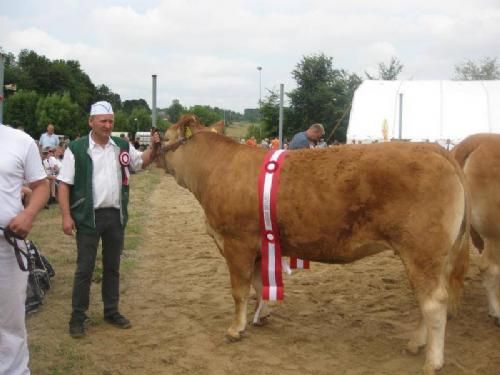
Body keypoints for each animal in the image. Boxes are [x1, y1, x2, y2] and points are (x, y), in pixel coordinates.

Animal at [157, 115, 468, 375]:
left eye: (166, 135)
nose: (154, 148)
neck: (216, 168)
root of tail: (437, 150)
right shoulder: (259, 246)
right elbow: (259, 284)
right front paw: (263, 314)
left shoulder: (236, 242)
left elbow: (239, 291)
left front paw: (236, 329)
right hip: (433, 255)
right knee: (428, 298)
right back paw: (416, 344)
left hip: (421, 250)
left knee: (433, 302)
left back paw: (432, 361)